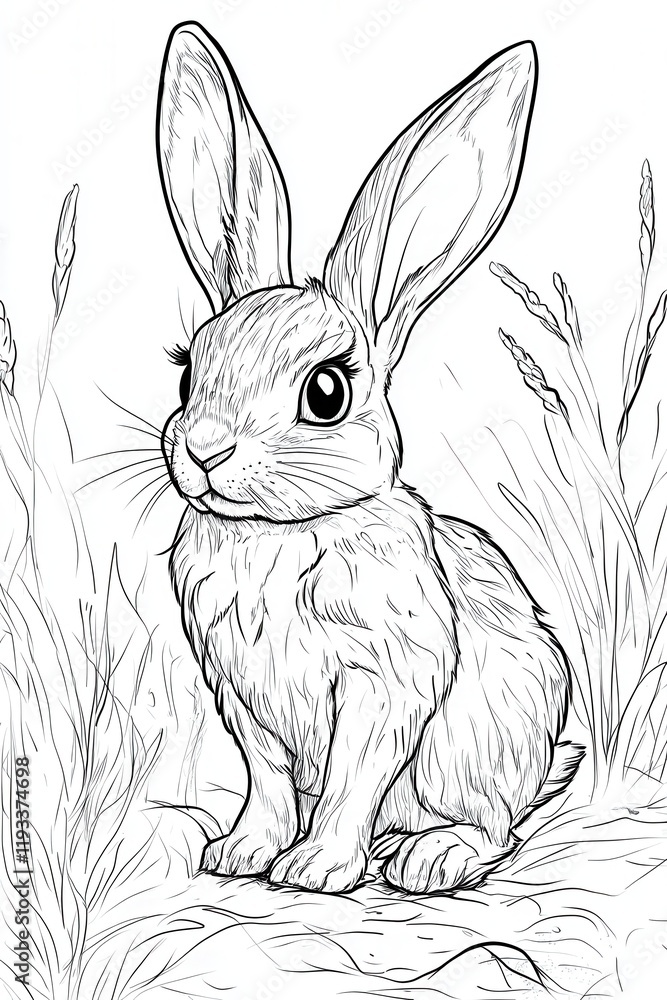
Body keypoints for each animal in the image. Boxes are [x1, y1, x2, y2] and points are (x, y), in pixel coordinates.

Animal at [157, 21, 583, 894]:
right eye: (187, 371)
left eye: (325, 392)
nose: (205, 451)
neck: (280, 533)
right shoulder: (241, 696)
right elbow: (266, 782)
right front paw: (241, 854)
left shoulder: (382, 680)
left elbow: (354, 777)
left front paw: (315, 869)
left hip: (476, 745)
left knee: (494, 829)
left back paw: (428, 857)